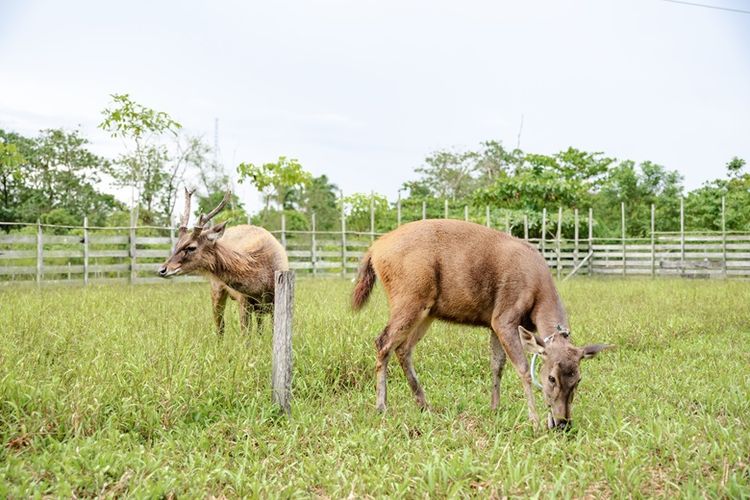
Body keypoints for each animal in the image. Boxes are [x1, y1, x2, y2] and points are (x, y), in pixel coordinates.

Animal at [157, 188, 290, 336]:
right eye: (177, 245)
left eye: (191, 247)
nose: (162, 270)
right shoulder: (243, 300)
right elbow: (245, 335)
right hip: (216, 288)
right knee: (220, 326)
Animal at [352, 219, 612, 430]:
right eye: (551, 378)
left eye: (578, 379)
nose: (563, 423)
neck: (538, 295)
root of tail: (374, 250)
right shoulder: (504, 317)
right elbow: (523, 369)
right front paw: (535, 422)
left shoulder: (494, 323)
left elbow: (497, 365)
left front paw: (494, 408)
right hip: (409, 297)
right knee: (383, 342)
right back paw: (382, 406)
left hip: (427, 311)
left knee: (403, 349)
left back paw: (424, 404)